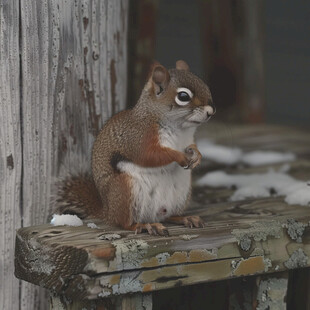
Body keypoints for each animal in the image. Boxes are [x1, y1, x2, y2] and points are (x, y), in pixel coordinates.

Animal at [54, 60, 216, 235]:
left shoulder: (187, 140)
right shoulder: (139, 137)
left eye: (204, 85)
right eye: (183, 96)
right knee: (124, 223)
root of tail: (108, 212)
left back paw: (185, 218)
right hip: (126, 192)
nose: (211, 112)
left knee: (168, 216)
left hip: (181, 194)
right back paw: (144, 225)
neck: (180, 128)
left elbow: (192, 147)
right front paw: (180, 156)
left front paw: (197, 156)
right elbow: (150, 156)